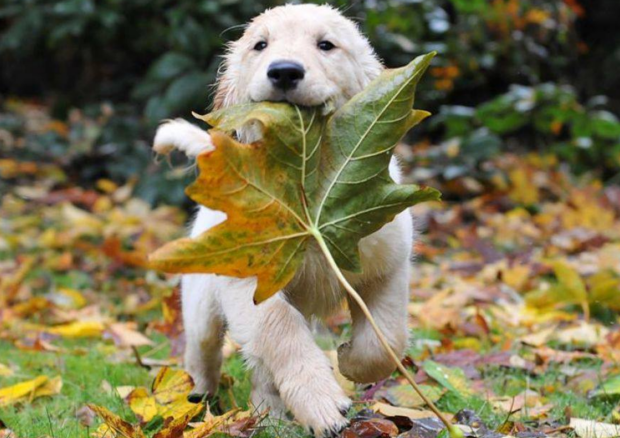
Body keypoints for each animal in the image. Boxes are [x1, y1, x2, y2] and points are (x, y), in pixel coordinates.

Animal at [151, 4, 412, 438]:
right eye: (261, 45)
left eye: (326, 45)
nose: (285, 71)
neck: (306, 183)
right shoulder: (249, 283)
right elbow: (280, 329)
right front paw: (321, 401)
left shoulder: (387, 264)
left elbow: (386, 337)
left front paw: (350, 362)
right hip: (202, 302)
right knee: (205, 353)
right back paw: (200, 401)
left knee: (260, 370)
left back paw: (268, 414)